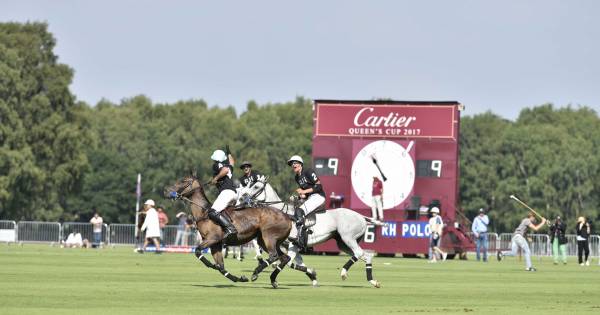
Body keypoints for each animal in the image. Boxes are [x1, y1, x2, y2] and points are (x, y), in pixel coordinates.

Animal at [164, 175, 296, 288]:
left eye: (183, 181)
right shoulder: (215, 245)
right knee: (285, 258)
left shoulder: (212, 239)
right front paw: (240, 278)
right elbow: (221, 267)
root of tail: (287, 216)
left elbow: (197, 251)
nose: (167, 192)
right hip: (264, 240)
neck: (204, 213)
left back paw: (255, 273)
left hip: (269, 237)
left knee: (274, 256)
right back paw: (273, 280)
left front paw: (211, 265)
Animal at [243, 180, 380, 288]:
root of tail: (361, 217)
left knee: (359, 253)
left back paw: (344, 272)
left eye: (256, 186)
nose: (243, 197)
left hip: (348, 238)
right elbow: (294, 263)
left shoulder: (293, 245)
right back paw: (373, 281)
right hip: (342, 243)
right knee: (366, 255)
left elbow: (287, 262)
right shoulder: (291, 246)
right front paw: (313, 276)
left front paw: (260, 275)